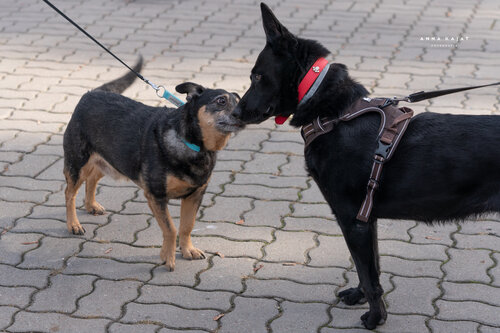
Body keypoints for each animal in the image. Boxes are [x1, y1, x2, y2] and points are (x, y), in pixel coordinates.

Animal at [63, 57, 243, 270]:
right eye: (221, 101)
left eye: (240, 102)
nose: (244, 114)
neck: (193, 144)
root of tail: (90, 94)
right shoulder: (156, 196)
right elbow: (171, 228)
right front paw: (168, 257)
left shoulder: (195, 195)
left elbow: (187, 226)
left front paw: (187, 250)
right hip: (77, 163)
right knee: (69, 194)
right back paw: (73, 224)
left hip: (109, 160)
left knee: (92, 179)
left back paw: (91, 205)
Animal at [233, 3, 500, 330]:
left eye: (257, 77)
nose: (235, 112)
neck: (334, 115)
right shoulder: (365, 219)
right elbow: (369, 268)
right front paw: (360, 296)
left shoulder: (351, 218)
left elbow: (369, 274)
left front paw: (375, 318)